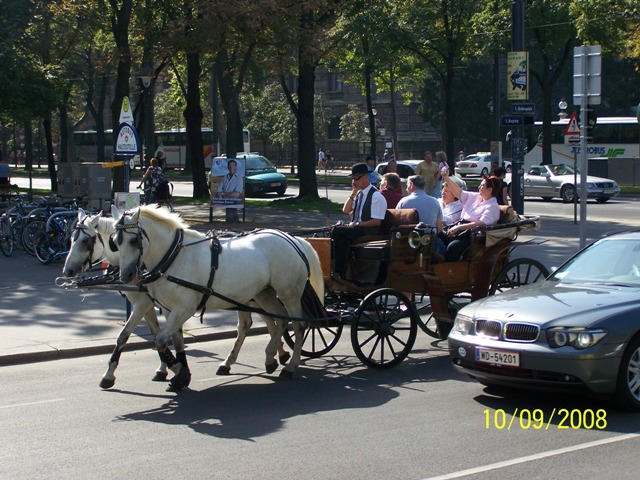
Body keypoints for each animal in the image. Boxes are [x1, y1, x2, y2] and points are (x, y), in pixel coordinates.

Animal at [112, 205, 324, 388]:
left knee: (298, 325)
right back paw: (268, 357)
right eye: (115, 242)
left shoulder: (184, 309)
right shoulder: (169, 308)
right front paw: (180, 375)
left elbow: (161, 340)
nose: (126, 275)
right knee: (278, 321)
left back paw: (290, 365)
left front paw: (179, 372)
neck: (175, 256)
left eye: (133, 241)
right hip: (264, 294)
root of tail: (293, 239)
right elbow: (175, 340)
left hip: (289, 294)